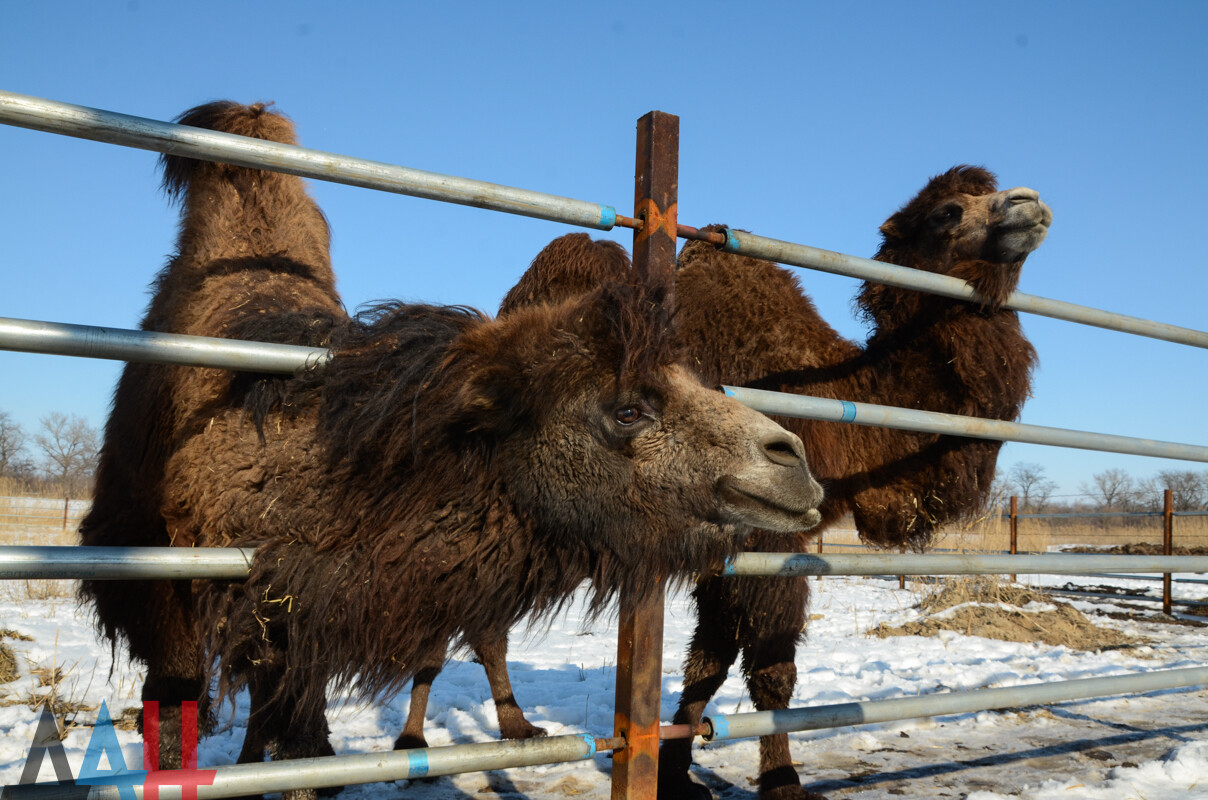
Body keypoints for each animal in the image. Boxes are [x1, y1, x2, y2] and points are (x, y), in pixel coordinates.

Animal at [77, 103, 831, 797]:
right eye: (627, 409)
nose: (791, 459)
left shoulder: (297, 625)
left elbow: (306, 751)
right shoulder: (173, 598)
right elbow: (183, 723)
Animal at [449, 165, 1053, 797]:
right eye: (947, 212)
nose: (1028, 203)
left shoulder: (732, 545)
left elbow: (709, 660)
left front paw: (677, 771)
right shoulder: (771, 535)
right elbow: (772, 672)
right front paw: (783, 782)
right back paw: (515, 730)